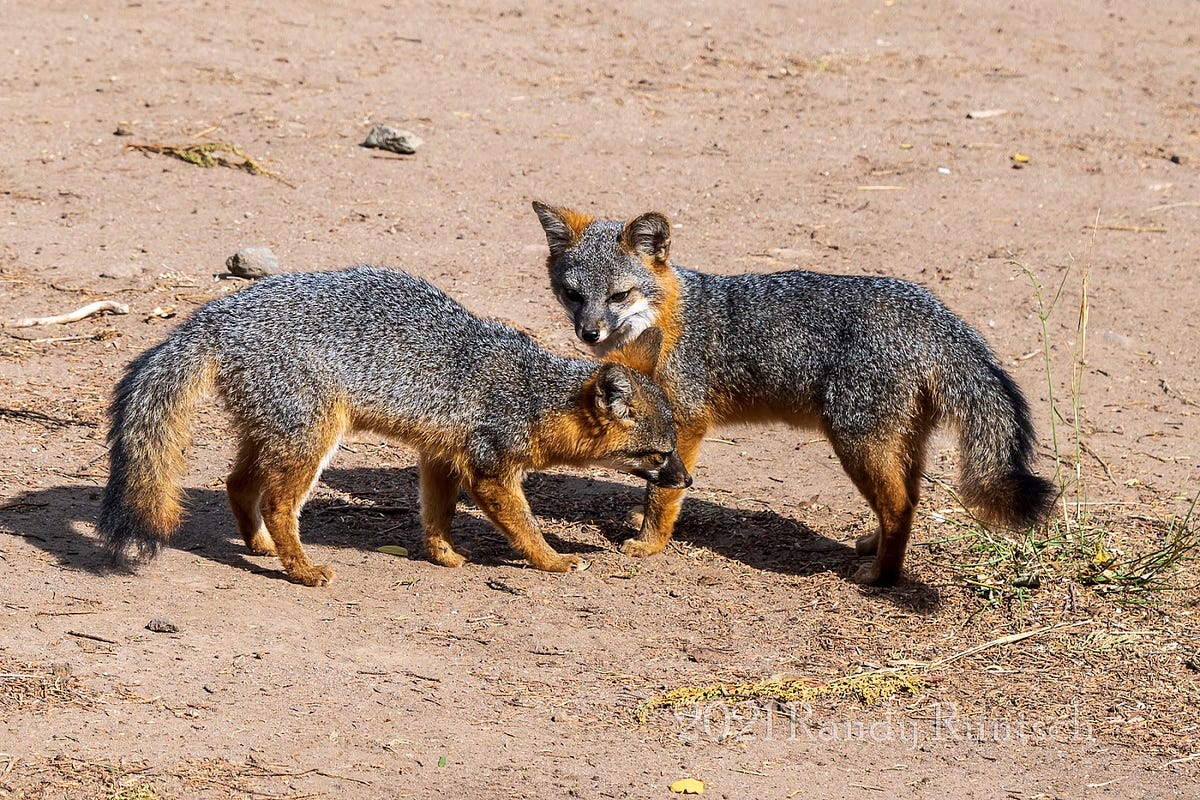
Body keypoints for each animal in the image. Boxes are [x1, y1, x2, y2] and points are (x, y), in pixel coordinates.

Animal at [97, 265, 690, 586]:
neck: (531, 393)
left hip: (273, 432)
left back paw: (262, 548)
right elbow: (524, 526)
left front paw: (443, 554)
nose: (686, 480)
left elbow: (436, 514)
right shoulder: (490, 469)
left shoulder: (442, 455)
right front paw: (553, 560)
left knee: (237, 484)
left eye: (674, 450)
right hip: (312, 440)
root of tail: (213, 316)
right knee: (278, 503)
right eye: (658, 455)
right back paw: (301, 569)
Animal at [533, 202, 1057, 586]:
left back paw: (881, 578)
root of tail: (931, 310)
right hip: (899, 442)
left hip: (856, 443)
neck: (669, 320)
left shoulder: (684, 420)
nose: (589, 333)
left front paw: (649, 543)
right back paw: (874, 547)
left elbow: (664, 492)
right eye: (573, 294)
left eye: (619, 296)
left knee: (900, 506)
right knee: (907, 499)